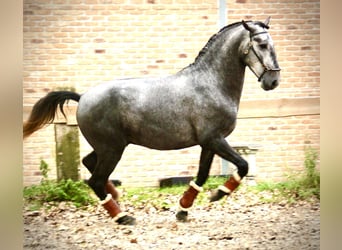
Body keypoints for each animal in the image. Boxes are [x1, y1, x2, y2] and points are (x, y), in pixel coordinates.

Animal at [24, 17, 280, 225]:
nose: (273, 81)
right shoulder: (214, 139)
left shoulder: (209, 143)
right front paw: (218, 194)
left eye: (272, 44)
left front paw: (183, 210)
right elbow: (243, 165)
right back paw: (122, 216)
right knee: (95, 180)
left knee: (89, 165)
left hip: (107, 147)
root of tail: (83, 97)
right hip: (112, 149)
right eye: (262, 44)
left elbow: (201, 176)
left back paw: (115, 198)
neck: (210, 83)